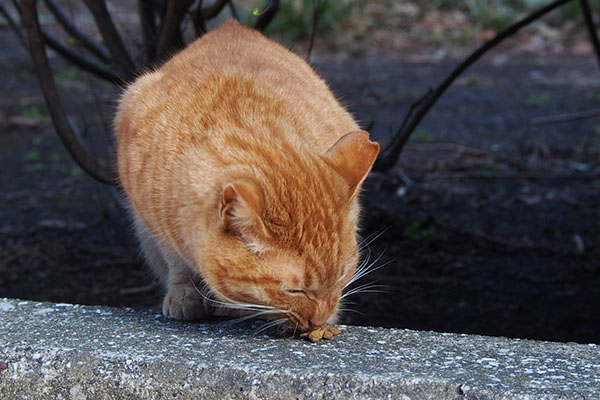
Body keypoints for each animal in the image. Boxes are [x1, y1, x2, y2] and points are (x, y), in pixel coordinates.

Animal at [114, 19, 378, 332]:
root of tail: (232, 25)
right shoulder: (154, 224)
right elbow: (176, 261)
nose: (320, 321)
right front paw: (184, 293)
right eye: (295, 290)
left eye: (341, 275)